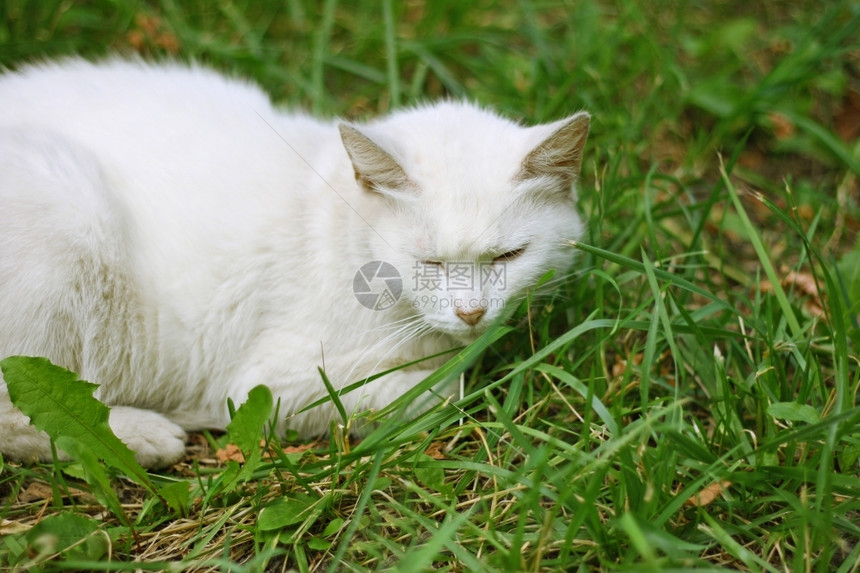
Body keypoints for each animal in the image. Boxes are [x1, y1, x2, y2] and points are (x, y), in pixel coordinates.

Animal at [0, 59, 588, 470]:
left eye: (509, 257)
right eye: (429, 262)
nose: (471, 314)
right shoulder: (264, 384)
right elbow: (431, 390)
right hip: (71, 213)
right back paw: (143, 436)